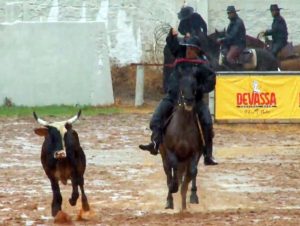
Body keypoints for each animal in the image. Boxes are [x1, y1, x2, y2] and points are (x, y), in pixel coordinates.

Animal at [159, 67, 204, 210]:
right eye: (181, 84)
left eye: (194, 84)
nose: (189, 100)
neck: (183, 126)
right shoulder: (170, 151)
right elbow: (173, 169)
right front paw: (174, 187)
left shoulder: (195, 152)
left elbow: (192, 172)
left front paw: (186, 201)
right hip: (164, 156)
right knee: (169, 172)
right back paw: (169, 200)